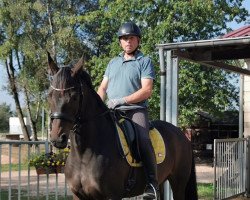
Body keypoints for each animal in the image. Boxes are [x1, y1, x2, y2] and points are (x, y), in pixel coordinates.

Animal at [47, 53, 197, 200]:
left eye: (74, 97)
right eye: (49, 95)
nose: (58, 138)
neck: (83, 155)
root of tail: (181, 134)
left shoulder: (112, 195)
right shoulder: (78, 196)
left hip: (178, 183)